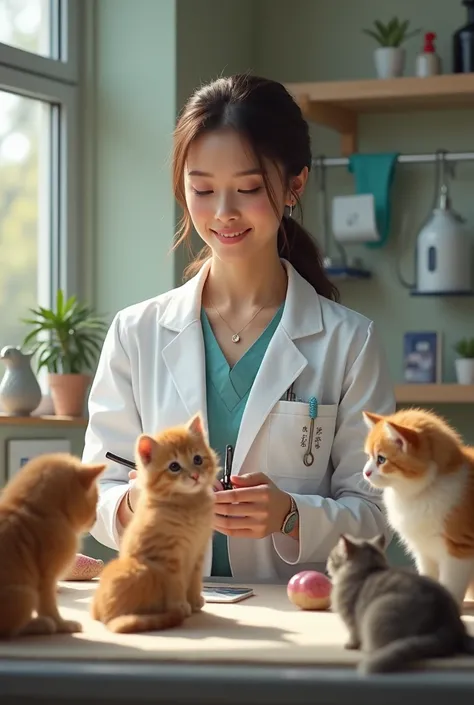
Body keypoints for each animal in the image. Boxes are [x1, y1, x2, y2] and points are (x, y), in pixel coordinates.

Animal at [0, 452, 104, 640]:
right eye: (96, 500)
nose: (95, 519)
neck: (34, 510)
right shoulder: (46, 580)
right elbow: (49, 607)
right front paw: (63, 625)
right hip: (25, 594)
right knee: (10, 630)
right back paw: (38, 625)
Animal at [90, 410, 218, 636]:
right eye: (174, 466)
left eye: (197, 459)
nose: (195, 475)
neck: (188, 504)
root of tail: (95, 608)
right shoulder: (169, 558)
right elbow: (176, 584)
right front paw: (180, 605)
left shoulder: (198, 552)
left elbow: (195, 581)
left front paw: (194, 601)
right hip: (144, 570)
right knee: (112, 616)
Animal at [328, 532, 474, 672]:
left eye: (332, 557)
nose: (328, 561)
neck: (369, 570)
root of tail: (450, 627)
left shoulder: (350, 619)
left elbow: (353, 635)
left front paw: (349, 646)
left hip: (380, 610)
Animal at [362, 408, 474, 604]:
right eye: (368, 456)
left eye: (381, 459)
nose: (365, 472)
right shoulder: (424, 552)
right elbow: (428, 576)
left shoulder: (459, 552)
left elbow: (451, 584)